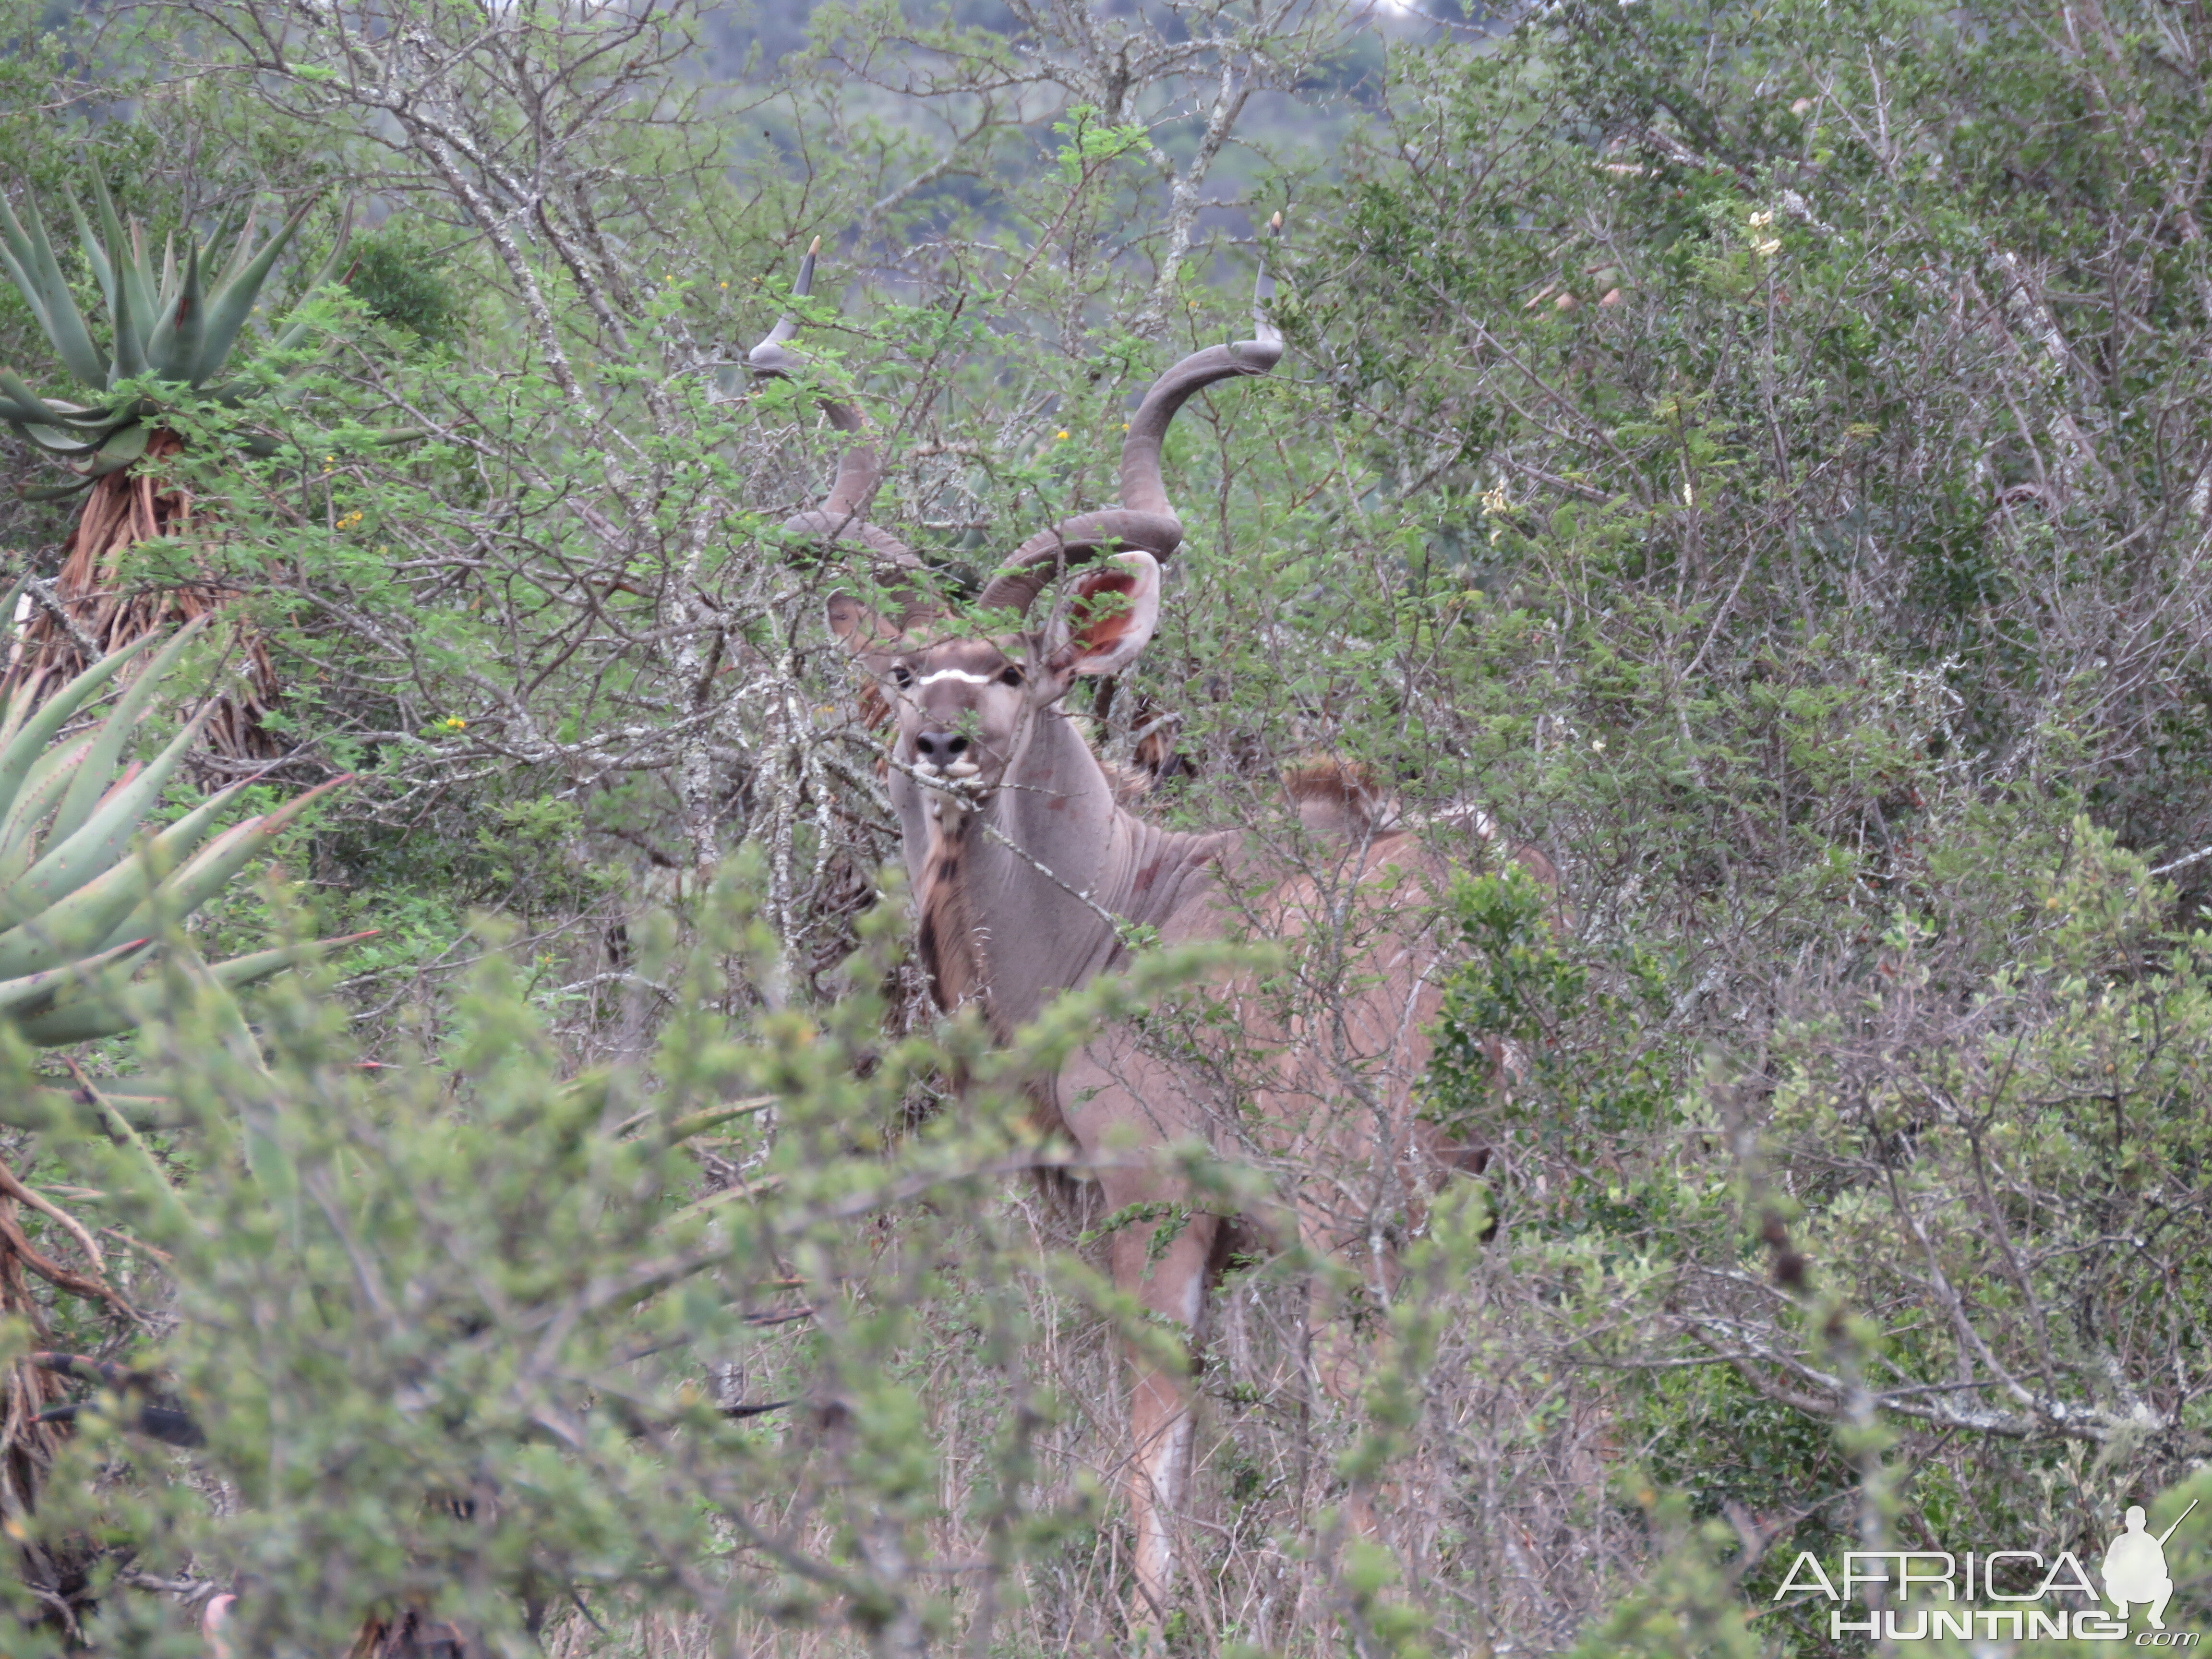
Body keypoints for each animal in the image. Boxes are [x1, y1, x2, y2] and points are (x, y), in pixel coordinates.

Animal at [752, 237, 1530, 1628]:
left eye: (1015, 670)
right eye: (900, 669)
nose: (938, 740)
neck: (1121, 906)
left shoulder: (1158, 1211)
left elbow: (1152, 1441)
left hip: (1367, 1226)